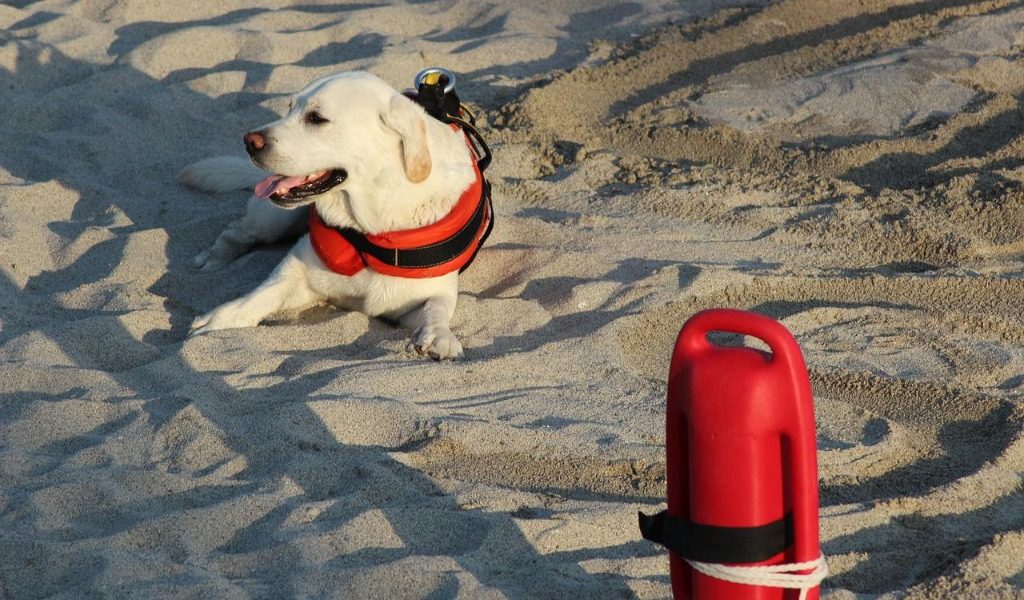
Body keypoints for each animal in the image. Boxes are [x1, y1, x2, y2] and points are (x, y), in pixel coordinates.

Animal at [183, 71, 491, 358]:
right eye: (289, 107)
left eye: (316, 118)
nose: (249, 141)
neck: (370, 225)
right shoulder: (299, 269)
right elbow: (260, 295)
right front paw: (220, 319)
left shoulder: (427, 294)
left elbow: (437, 307)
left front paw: (439, 335)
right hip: (273, 218)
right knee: (238, 231)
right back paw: (215, 258)